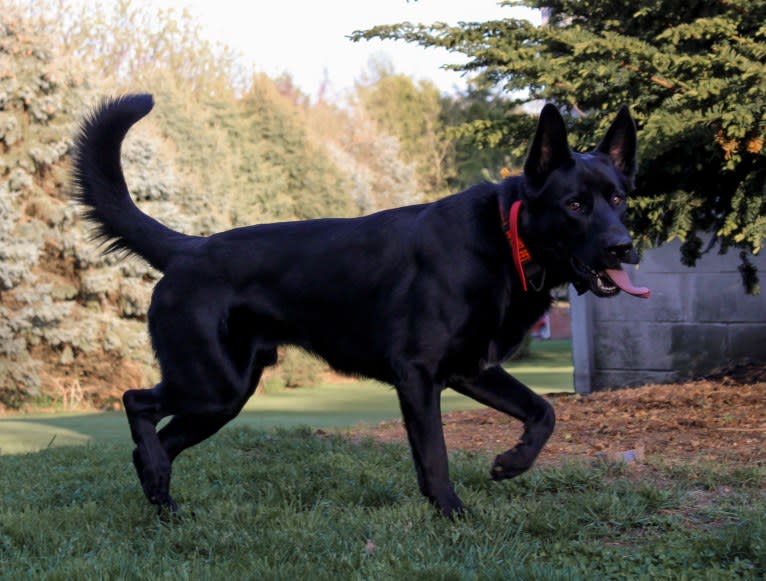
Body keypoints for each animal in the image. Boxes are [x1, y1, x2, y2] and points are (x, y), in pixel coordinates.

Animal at [70, 96, 648, 516]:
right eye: (575, 204)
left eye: (618, 198)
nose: (624, 248)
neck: (507, 240)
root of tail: (186, 248)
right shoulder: (417, 374)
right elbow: (434, 456)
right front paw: (453, 514)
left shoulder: (473, 369)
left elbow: (543, 411)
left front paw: (511, 463)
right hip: (212, 385)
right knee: (135, 402)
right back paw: (157, 483)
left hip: (222, 396)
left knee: (156, 442)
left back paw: (162, 501)